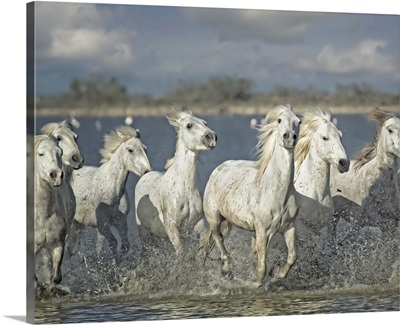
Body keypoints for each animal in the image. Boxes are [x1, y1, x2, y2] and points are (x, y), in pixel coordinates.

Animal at [69, 126, 151, 256]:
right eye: (130, 150)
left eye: (145, 149)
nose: (147, 171)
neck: (111, 193)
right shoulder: (103, 224)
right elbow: (112, 243)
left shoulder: (121, 222)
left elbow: (124, 246)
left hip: (78, 223)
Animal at [135, 109, 217, 256]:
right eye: (189, 125)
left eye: (205, 123)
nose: (212, 137)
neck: (184, 189)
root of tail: (145, 174)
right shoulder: (172, 226)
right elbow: (181, 252)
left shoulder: (198, 225)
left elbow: (201, 249)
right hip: (144, 234)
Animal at [203, 105, 300, 284]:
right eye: (279, 120)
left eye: (299, 121)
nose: (290, 138)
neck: (278, 193)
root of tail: (219, 168)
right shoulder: (263, 230)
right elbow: (261, 268)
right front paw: (254, 283)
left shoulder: (289, 227)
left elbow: (292, 257)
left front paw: (279, 274)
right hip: (214, 217)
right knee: (218, 238)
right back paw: (227, 269)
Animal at [294, 107, 350, 238]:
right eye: (325, 137)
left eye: (340, 136)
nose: (344, 163)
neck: (317, 195)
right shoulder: (299, 225)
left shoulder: (323, 228)